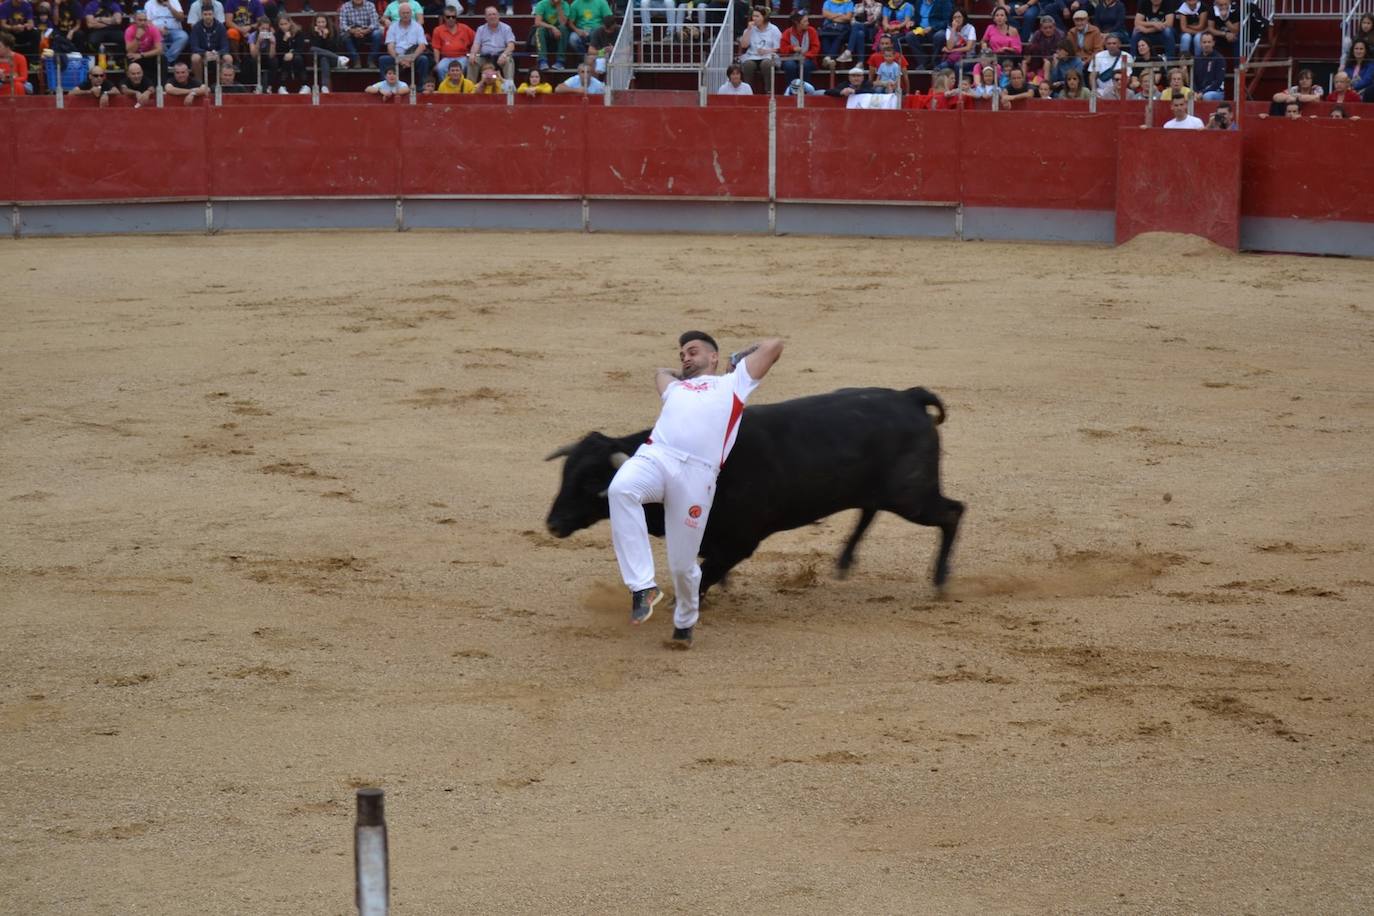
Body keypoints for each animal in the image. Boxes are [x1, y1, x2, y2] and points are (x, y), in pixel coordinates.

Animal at [541, 387, 961, 596]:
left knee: (952, 512)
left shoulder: (741, 540)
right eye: (564, 475)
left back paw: (940, 581)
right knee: (869, 510)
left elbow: (707, 574)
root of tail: (908, 397)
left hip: (912, 496)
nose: (553, 524)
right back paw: (844, 563)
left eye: (592, 484)